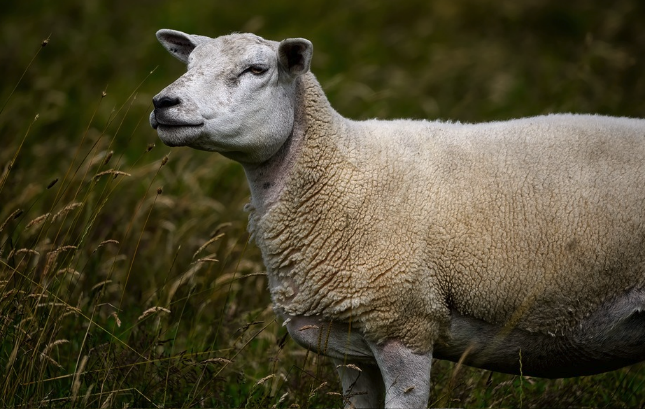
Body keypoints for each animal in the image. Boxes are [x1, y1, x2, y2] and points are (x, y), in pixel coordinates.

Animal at [148, 29, 644, 408]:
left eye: (256, 70)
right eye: (190, 62)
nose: (163, 102)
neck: (342, 170)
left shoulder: (404, 324)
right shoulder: (346, 346)